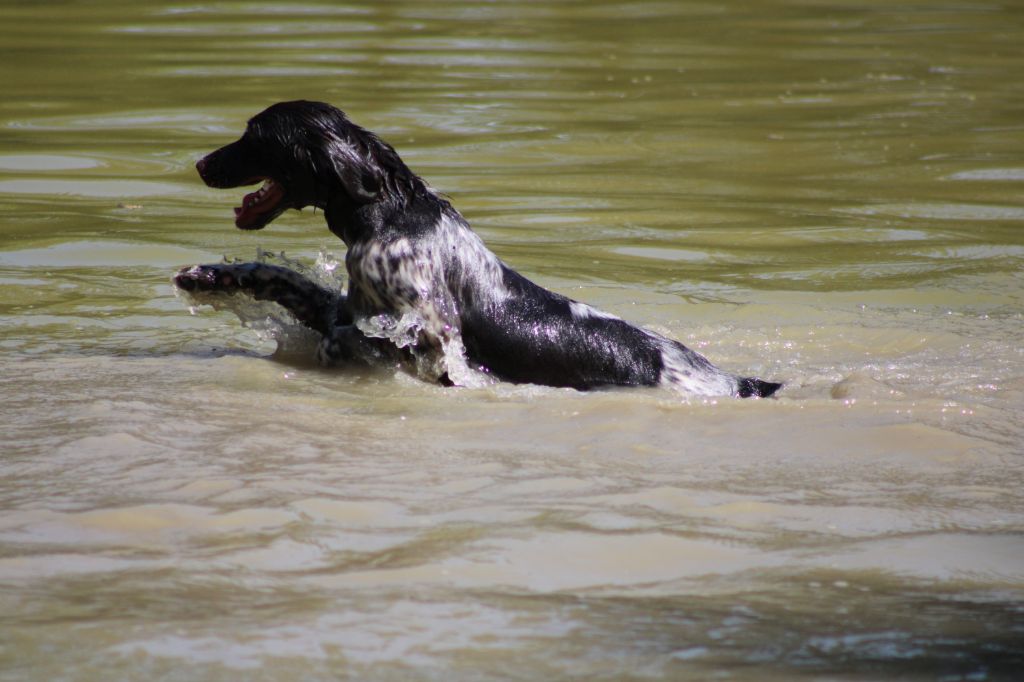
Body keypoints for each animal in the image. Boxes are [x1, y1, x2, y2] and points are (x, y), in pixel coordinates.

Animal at [178, 101, 782, 399]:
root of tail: (733, 381)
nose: (201, 163)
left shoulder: (428, 336)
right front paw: (209, 277)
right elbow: (286, 282)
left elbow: (357, 340)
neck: (392, 212)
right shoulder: (355, 303)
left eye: (255, 133)